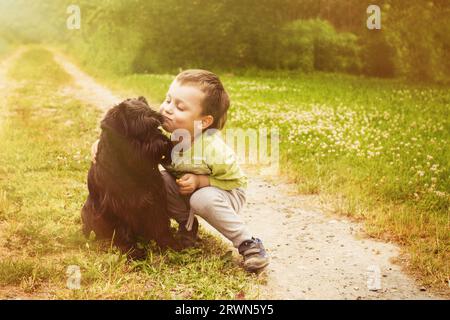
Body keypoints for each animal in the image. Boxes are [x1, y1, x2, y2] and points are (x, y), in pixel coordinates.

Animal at [81, 96, 181, 258]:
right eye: (141, 130)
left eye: (157, 126)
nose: (164, 142)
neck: (130, 167)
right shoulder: (117, 205)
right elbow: (122, 228)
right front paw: (131, 250)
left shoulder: (155, 197)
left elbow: (160, 223)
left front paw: (169, 244)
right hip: (88, 210)